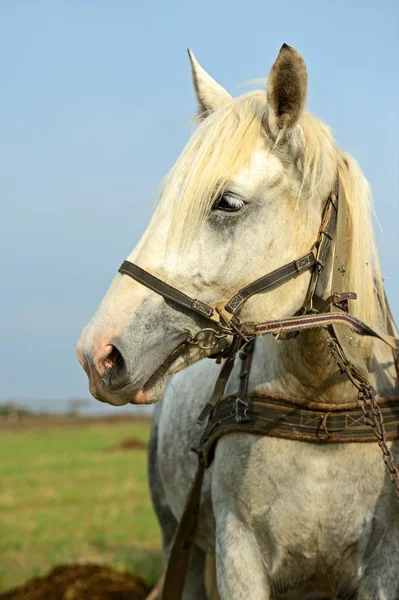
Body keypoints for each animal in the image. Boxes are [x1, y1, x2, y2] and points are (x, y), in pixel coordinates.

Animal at [76, 44, 398, 596]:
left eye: (227, 203)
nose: (98, 354)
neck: (321, 403)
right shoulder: (238, 556)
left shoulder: (384, 567)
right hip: (176, 538)